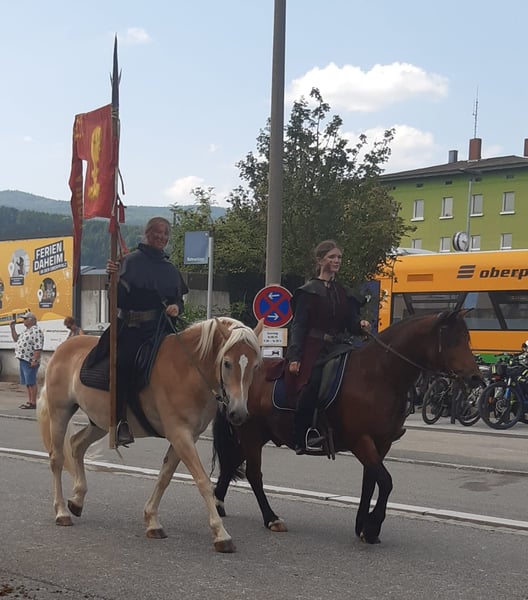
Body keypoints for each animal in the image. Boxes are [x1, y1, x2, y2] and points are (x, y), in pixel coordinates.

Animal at [37, 317, 263, 553]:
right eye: (227, 363)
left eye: (256, 366)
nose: (238, 413)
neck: (187, 370)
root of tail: (62, 348)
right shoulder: (180, 435)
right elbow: (202, 481)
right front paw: (221, 534)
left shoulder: (186, 437)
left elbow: (165, 476)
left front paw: (152, 520)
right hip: (60, 413)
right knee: (57, 459)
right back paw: (61, 511)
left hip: (100, 422)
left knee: (77, 444)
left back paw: (77, 500)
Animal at [212, 310, 482, 544]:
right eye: (451, 340)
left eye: (466, 338)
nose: (476, 377)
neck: (378, 375)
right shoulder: (361, 440)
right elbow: (385, 481)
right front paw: (372, 527)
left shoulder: (381, 443)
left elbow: (370, 482)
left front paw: (362, 525)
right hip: (251, 435)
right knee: (253, 475)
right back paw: (271, 518)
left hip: (252, 435)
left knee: (230, 465)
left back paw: (218, 504)